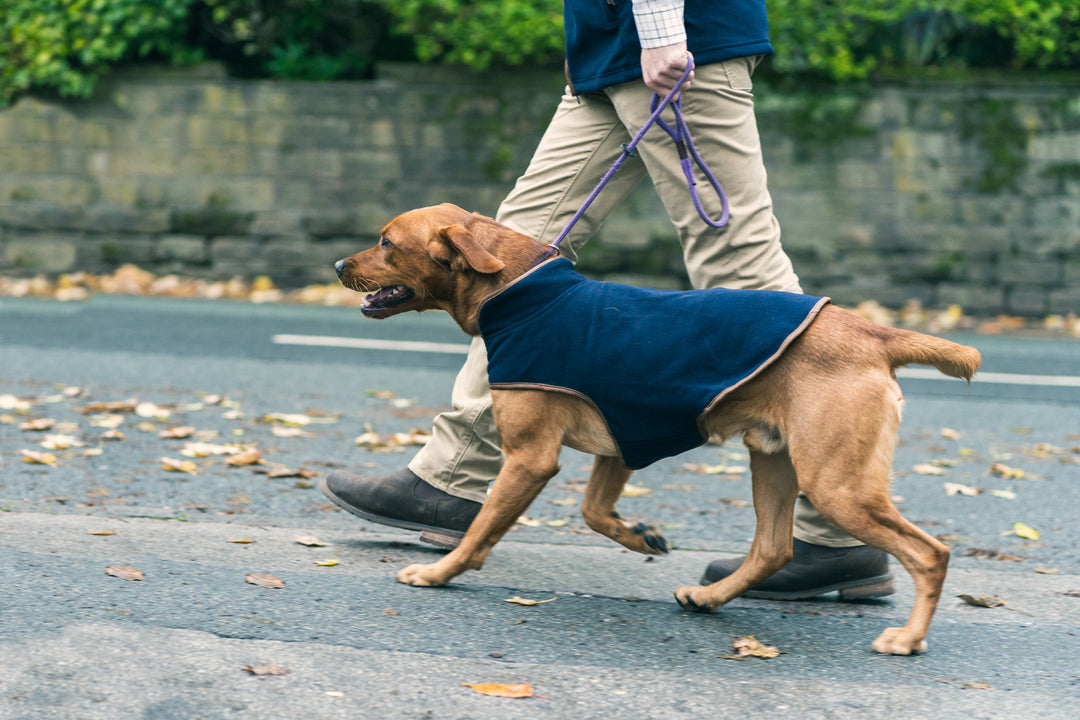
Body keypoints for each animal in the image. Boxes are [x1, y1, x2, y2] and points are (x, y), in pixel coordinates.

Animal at [334, 204, 980, 660]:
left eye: (387, 242)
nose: (338, 266)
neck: (521, 293)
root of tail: (872, 333)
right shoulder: (623, 441)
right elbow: (595, 513)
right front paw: (641, 536)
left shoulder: (532, 457)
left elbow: (479, 532)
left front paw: (438, 574)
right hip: (775, 462)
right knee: (773, 549)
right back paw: (710, 596)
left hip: (835, 482)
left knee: (930, 553)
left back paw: (908, 637)